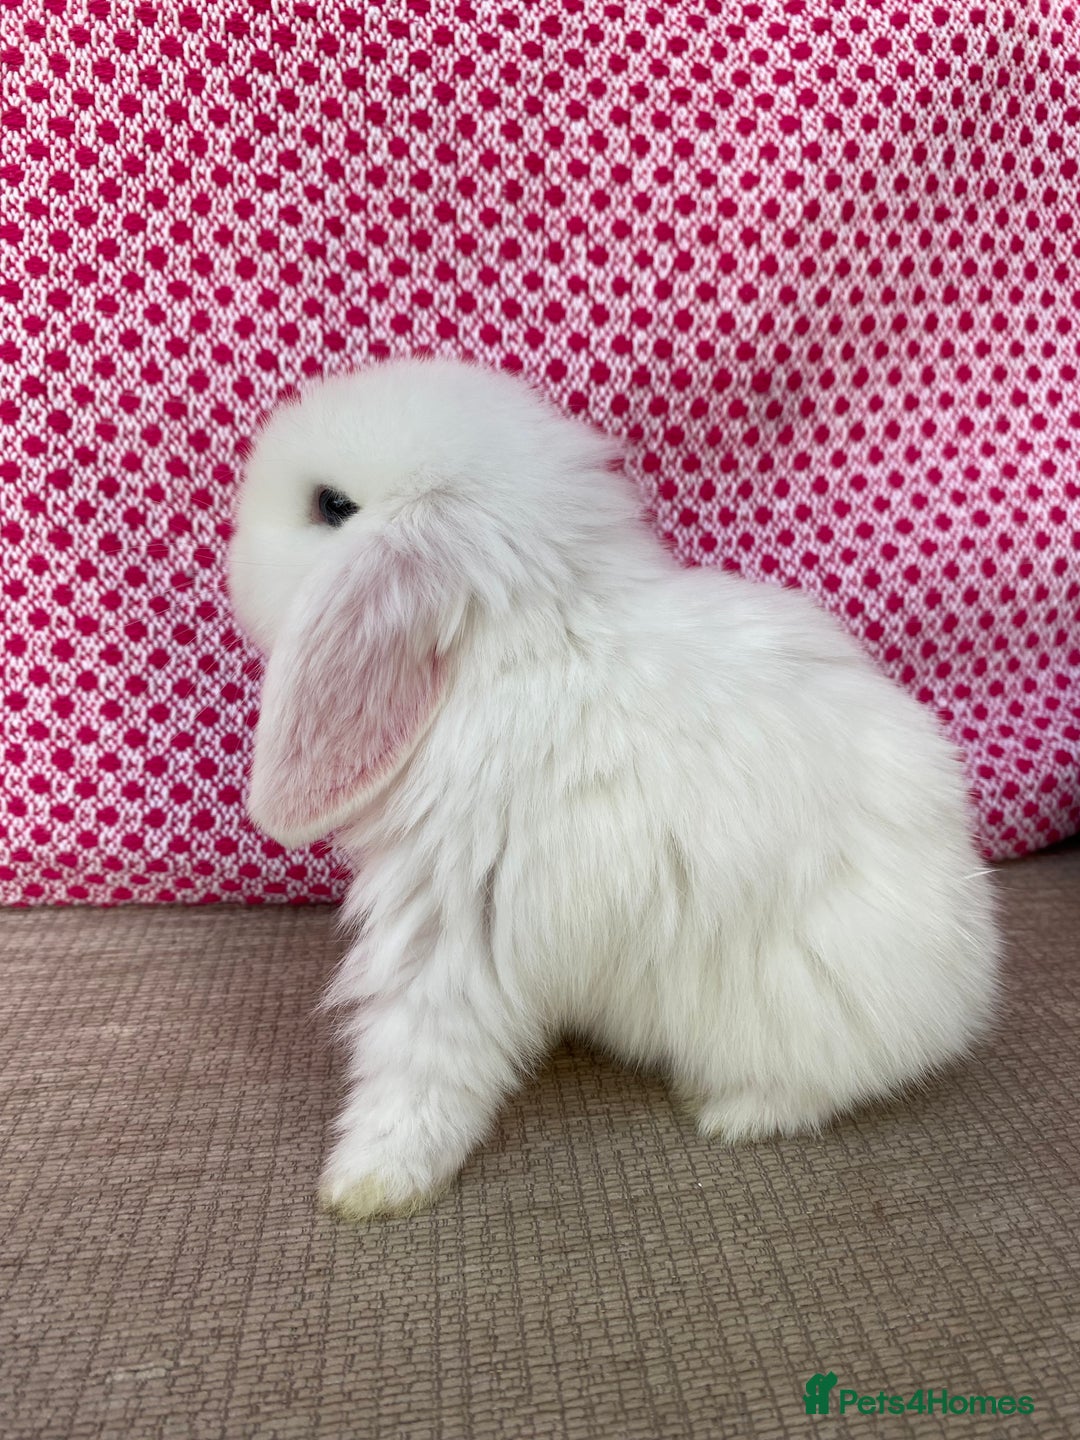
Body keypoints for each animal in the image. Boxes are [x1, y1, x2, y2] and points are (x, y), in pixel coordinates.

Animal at [228, 356, 1000, 1221]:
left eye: (331, 505)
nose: (235, 532)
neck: (517, 644)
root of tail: (963, 995)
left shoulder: (453, 919)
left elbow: (420, 1059)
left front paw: (368, 1183)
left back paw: (733, 1113)